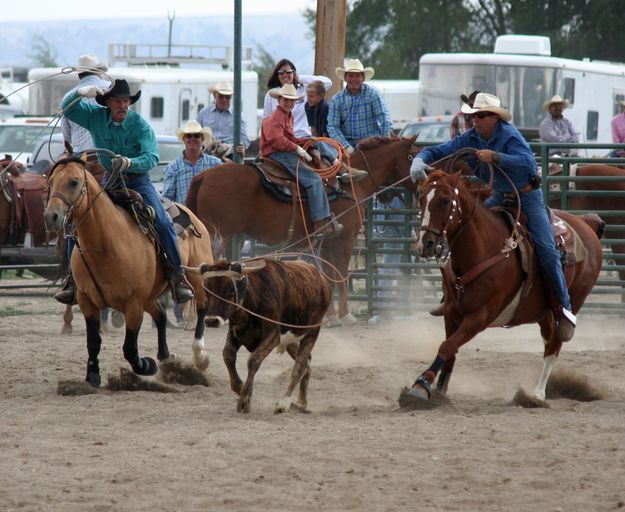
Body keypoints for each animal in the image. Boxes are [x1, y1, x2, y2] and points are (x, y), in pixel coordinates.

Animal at [43, 157, 214, 388]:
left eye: (74, 182)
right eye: (50, 182)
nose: (51, 217)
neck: (106, 244)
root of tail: (191, 214)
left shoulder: (133, 305)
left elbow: (130, 349)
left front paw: (146, 365)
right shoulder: (87, 301)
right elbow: (93, 342)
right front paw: (92, 375)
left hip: (197, 277)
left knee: (203, 309)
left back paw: (200, 356)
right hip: (150, 295)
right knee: (161, 314)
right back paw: (166, 356)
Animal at [185, 134, 420, 326]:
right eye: (412, 156)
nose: (424, 182)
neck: (350, 185)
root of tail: (203, 176)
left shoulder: (327, 240)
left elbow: (328, 275)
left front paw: (330, 316)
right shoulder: (344, 239)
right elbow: (341, 273)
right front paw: (345, 315)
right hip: (220, 235)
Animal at [186, 258, 330, 414]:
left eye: (230, 289)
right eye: (207, 289)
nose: (211, 320)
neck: (254, 298)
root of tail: (322, 280)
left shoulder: (273, 335)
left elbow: (253, 360)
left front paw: (245, 399)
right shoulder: (235, 333)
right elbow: (228, 355)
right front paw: (240, 387)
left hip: (311, 332)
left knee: (300, 366)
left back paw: (284, 403)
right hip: (291, 339)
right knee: (307, 363)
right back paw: (301, 402)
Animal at [402, 172, 604, 404]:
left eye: (444, 201)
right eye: (421, 200)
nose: (424, 244)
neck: (483, 249)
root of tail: (585, 223)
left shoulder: (481, 315)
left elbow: (448, 346)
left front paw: (421, 385)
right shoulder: (452, 310)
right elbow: (450, 350)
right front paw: (440, 392)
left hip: (573, 301)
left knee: (555, 343)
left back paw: (537, 394)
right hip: (543, 310)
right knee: (548, 339)